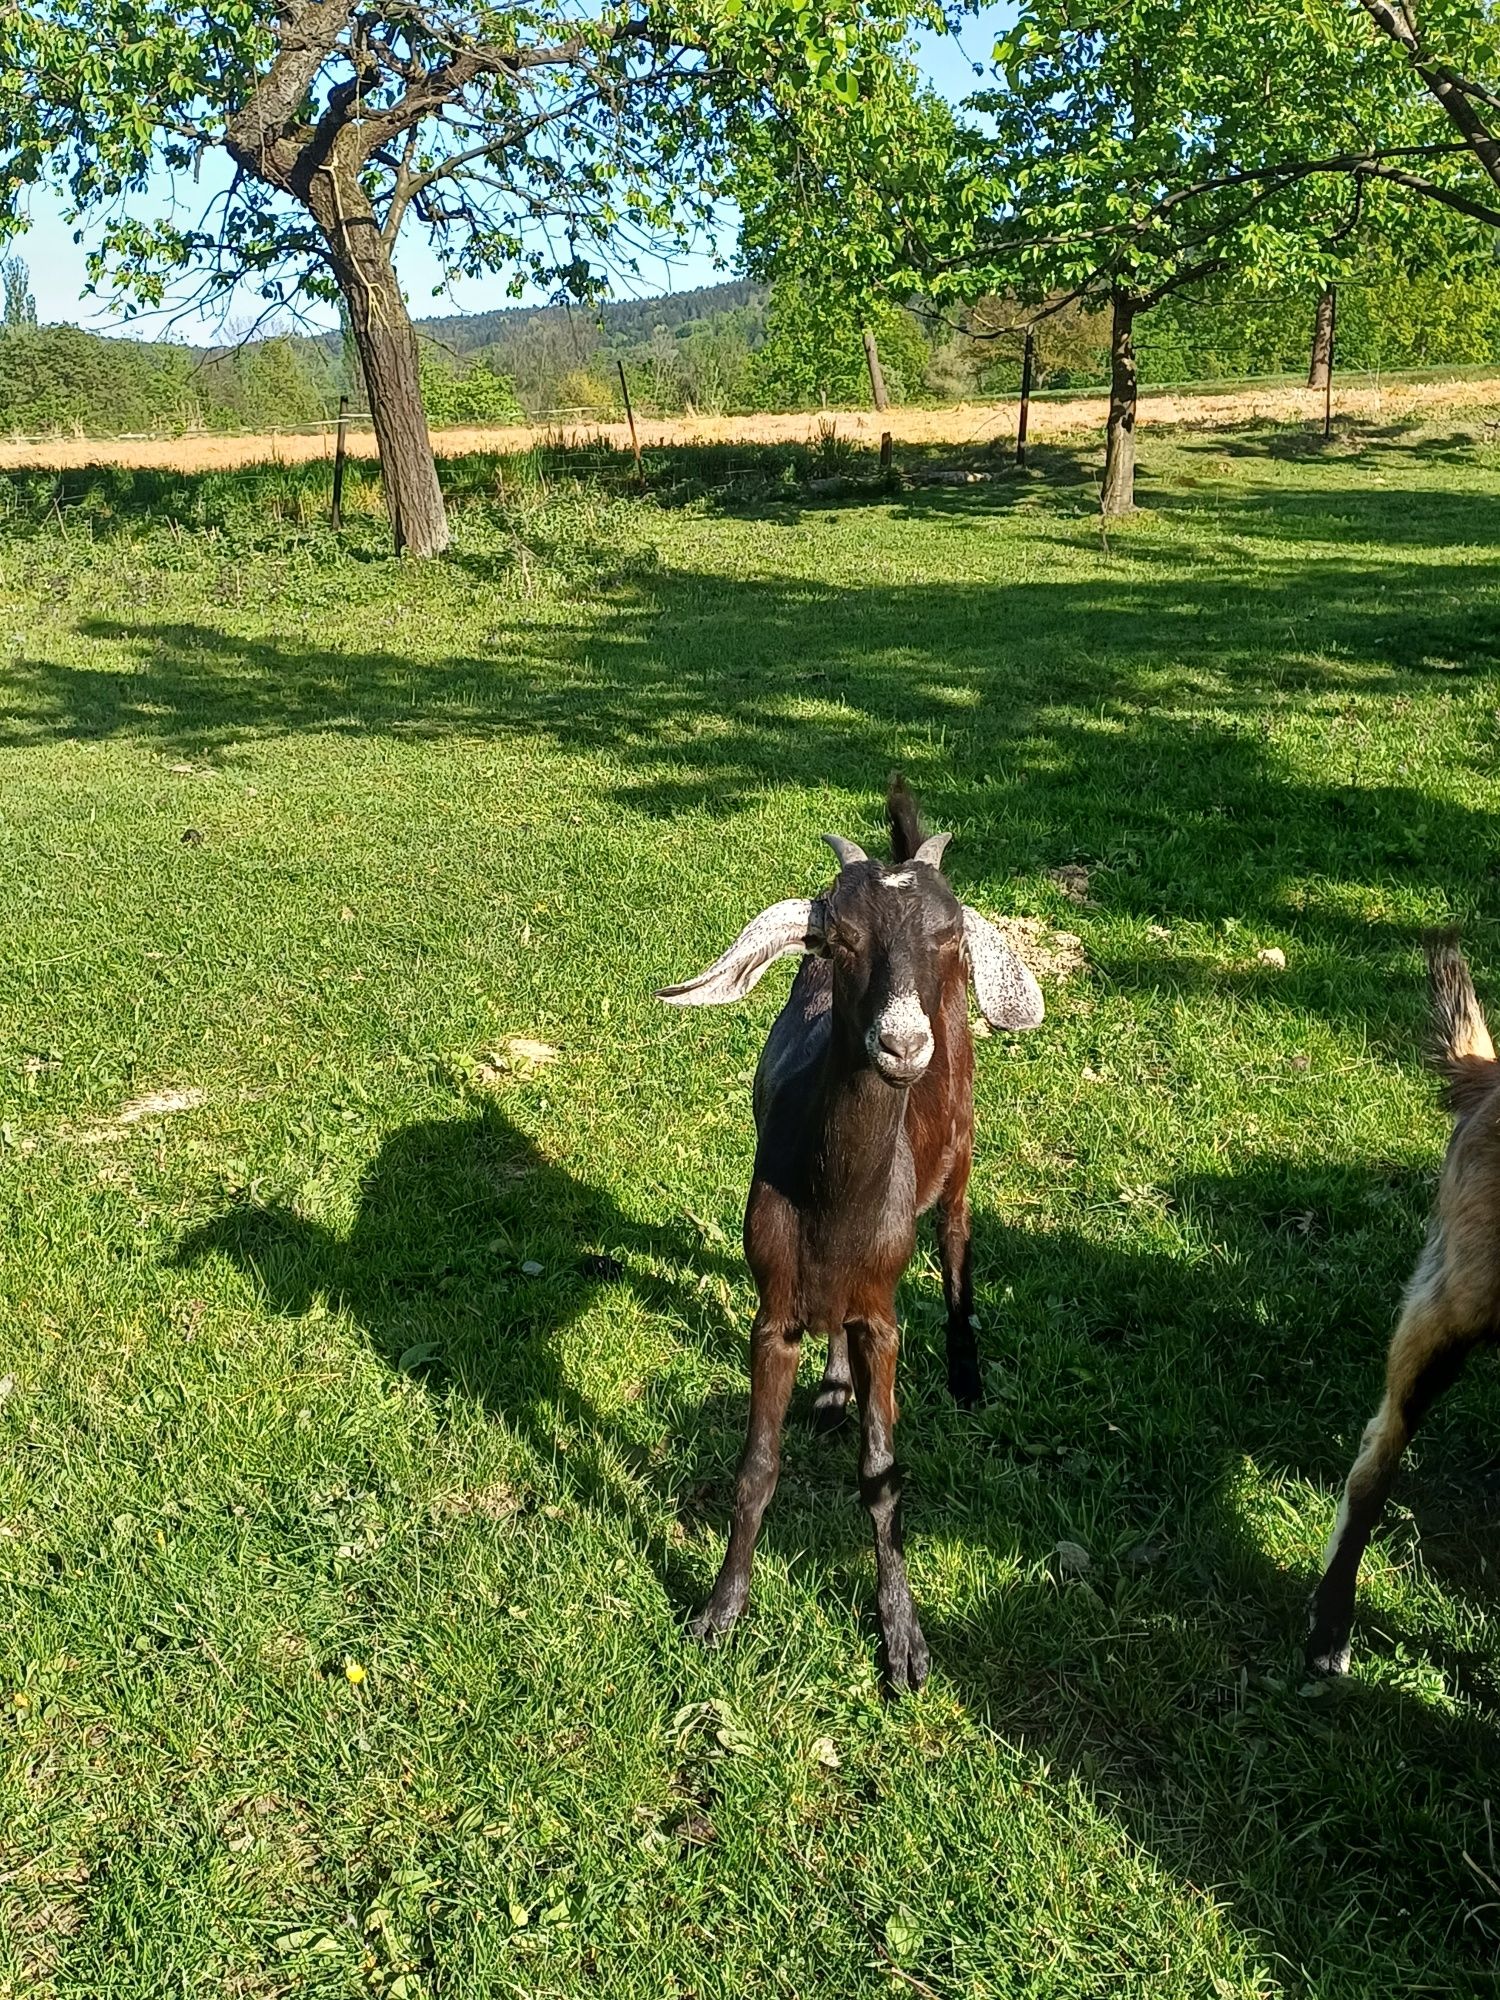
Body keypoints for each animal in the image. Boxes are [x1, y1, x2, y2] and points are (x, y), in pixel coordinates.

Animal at [660, 780, 1048, 1688]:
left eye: (950, 937)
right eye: (838, 938)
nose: (903, 1044)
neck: (834, 1202)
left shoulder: (883, 1319)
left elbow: (881, 1474)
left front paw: (903, 1638)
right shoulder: (773, 1310)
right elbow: (756, 1467)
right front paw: (720, 1610)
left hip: (962, 1153)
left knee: (955, 1239)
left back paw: (967, 1375)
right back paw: (834, 1391)